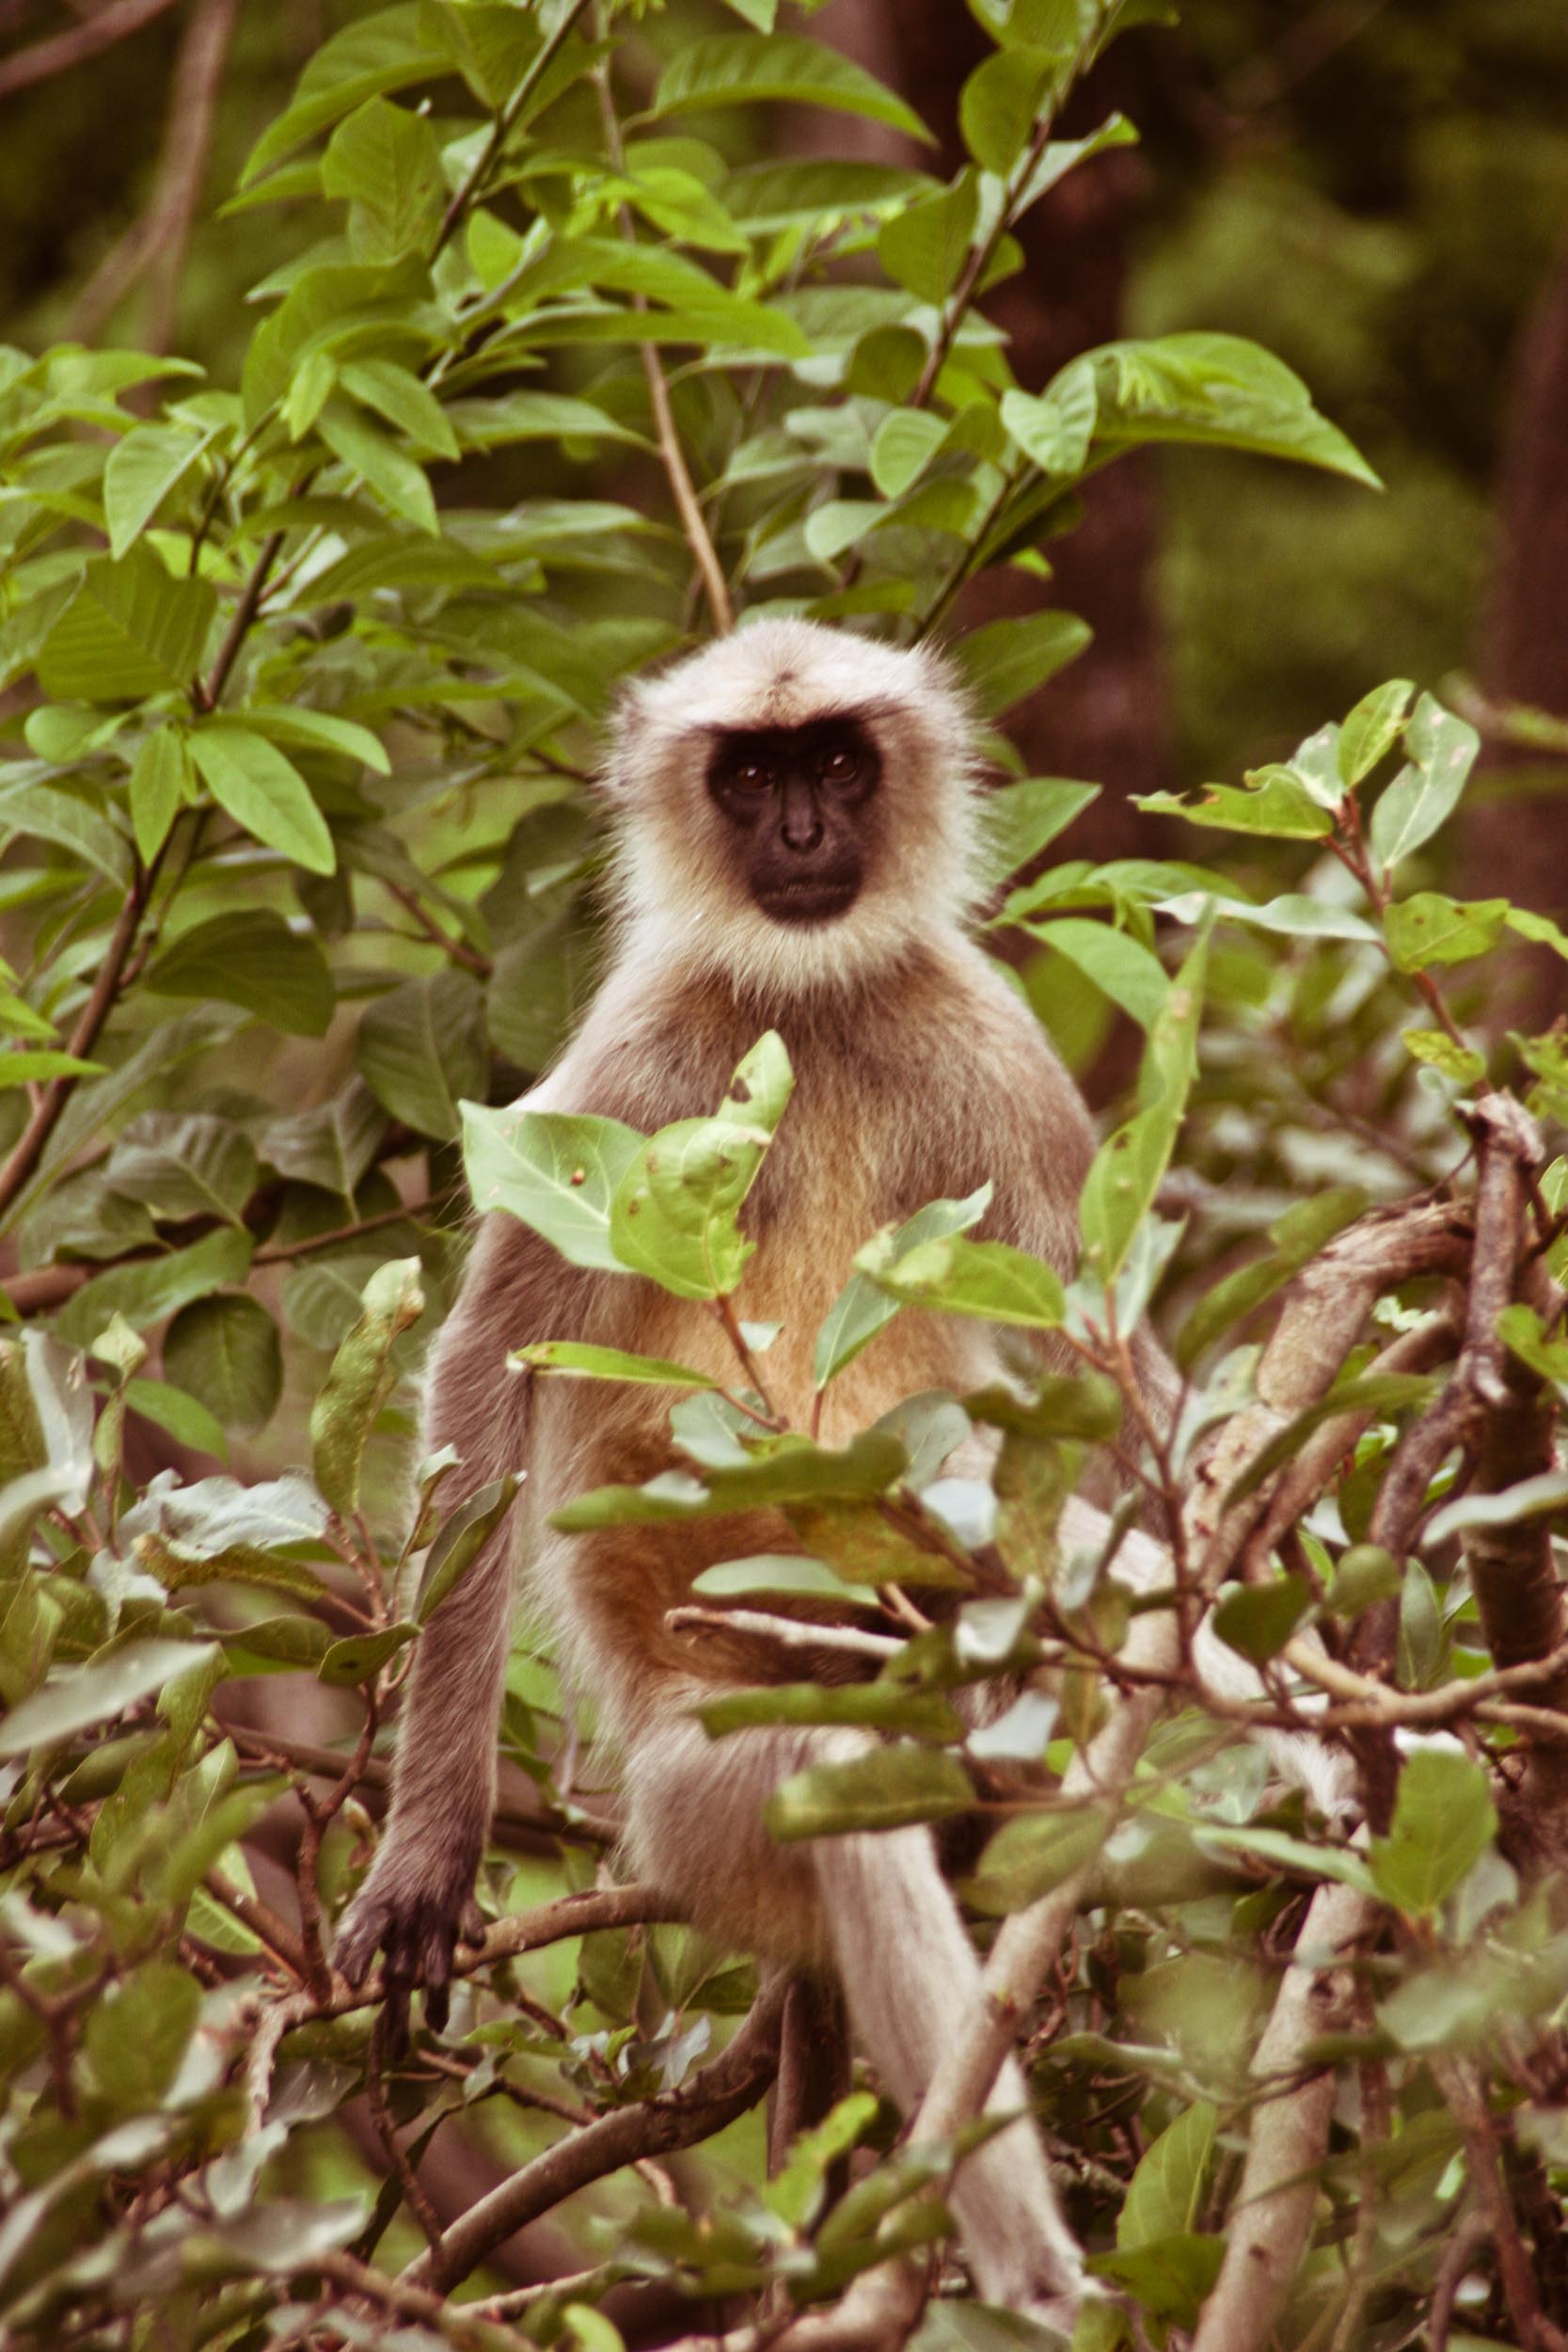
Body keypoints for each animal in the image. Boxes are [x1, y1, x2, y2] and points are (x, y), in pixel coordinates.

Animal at [333, 618, 1318, 2321]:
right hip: (701, 1784)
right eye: (749, 775)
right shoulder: (637, 1051)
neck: (814, 1007)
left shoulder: (983, 1041)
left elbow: (1109, 1373)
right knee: (831, 1792)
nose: (798, 833)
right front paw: (426, 1856)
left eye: (839, 765)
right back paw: (1024, 2267)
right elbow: (491, 1368)